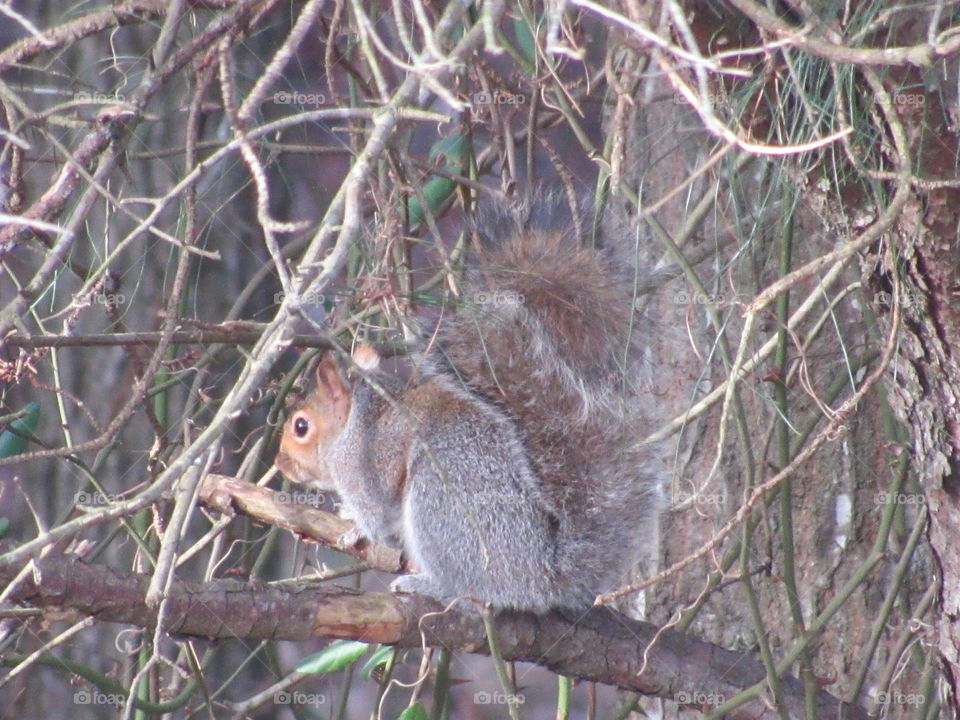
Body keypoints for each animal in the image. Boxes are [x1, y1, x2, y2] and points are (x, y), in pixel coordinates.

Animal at [276, 196, 662, 612]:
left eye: (301, 426)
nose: (280, 464)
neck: (354, 423)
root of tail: (540, 579)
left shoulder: (366, 468)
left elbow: (378, 521)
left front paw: (352, 529)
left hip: (439, 504)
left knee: (475, 592)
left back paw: (429, 586)